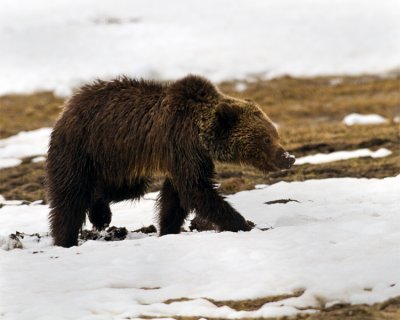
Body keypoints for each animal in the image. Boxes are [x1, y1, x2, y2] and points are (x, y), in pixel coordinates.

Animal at [47, 74, 296, 248]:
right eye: (266, 138)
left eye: (275, 134)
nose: (288, 158)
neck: (200, 132)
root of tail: (68, 105)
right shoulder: (182, 144)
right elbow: (197, 190)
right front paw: (244, 224)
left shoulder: (189, 156)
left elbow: (175, 197)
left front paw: (168, 229)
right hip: (84, 148)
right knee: (70, 197)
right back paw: (66, 239)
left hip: (118, 162)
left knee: (123, 189)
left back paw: (100, 214)